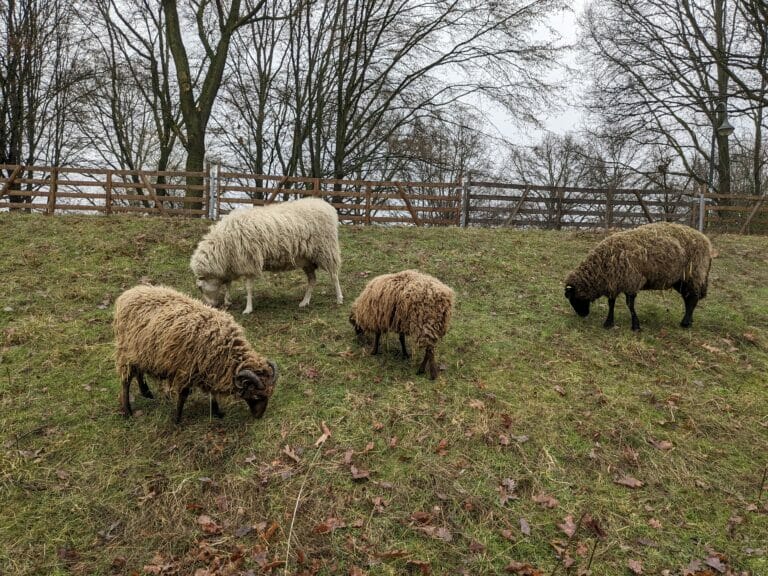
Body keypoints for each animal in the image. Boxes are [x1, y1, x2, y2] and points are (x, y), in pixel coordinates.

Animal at [114, 284, 280, 424]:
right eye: (256, 395)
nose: (259, 416)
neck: (225, 350)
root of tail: (129, 293)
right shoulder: (185, 370)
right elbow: (183, 396)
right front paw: (177, 420)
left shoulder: (209, 370)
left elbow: (212, 393)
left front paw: (217, 412)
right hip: (126, 351)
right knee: (126, 381)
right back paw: (128, 411)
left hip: (140, 352)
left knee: (139, 372)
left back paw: (147, 393)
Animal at [189, 198, 342, 316]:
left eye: (200, 288)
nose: (208, 306)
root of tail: (326, 206)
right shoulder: (231, 264)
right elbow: (228, 284)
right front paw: (228, 301)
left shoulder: (248, 262)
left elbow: (248, 288)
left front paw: (248, 309)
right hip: (307, 260)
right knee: (312, 280)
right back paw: (304, 302)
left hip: (327, 250)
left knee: (334, 275)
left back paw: (339, 298)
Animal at [564, 222, 712, 330]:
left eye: (573, 298)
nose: (582, 315)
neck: (602, 266)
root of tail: (706, 241)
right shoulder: (614, 282)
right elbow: (611, 303)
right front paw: (608, 323)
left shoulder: (631, 281)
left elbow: (629, 304)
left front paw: (635, 325)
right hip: (680, 280)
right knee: (688, 298)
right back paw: (689, 320)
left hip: (694, 273)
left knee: (693, 298)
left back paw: (685, 323)